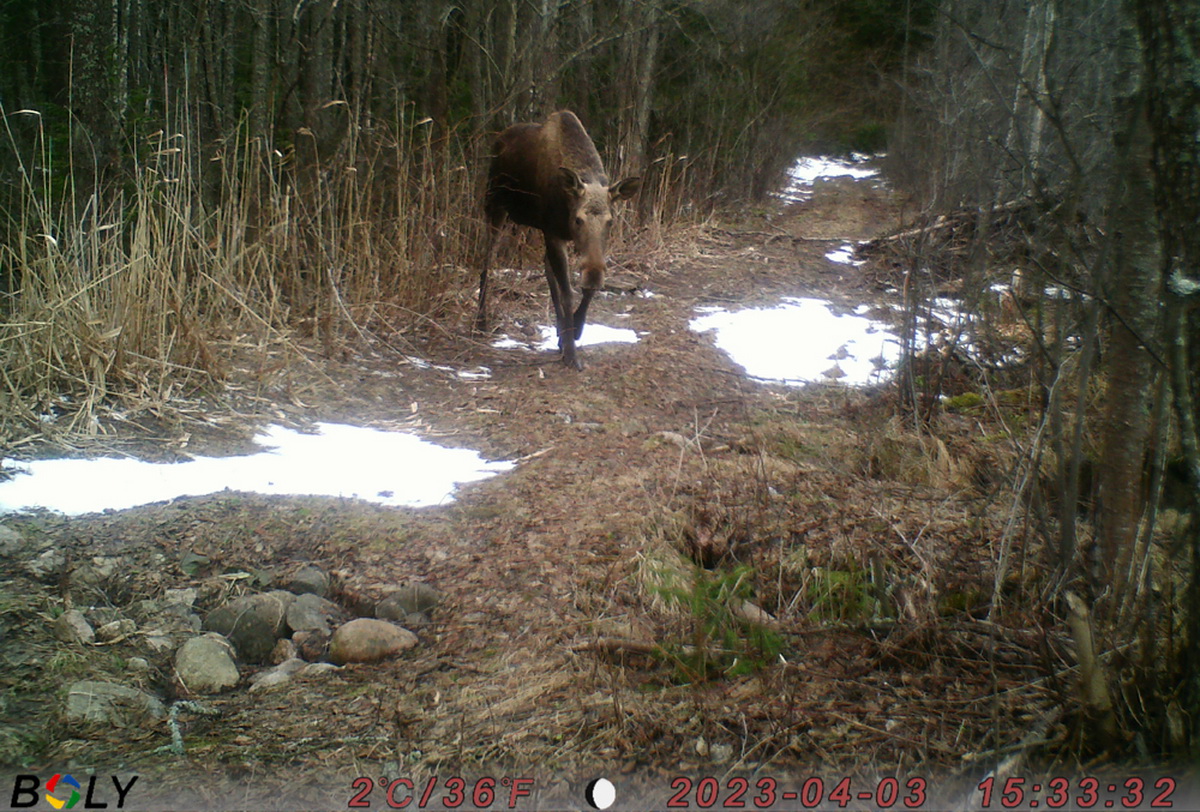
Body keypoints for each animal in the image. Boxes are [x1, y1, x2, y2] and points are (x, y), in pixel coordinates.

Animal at [470, 110, 638, 367]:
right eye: (578, 220)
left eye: (611, 221)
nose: (594, 275)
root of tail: (498, 138)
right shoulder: (554, 233)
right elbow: (567, 292)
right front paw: (571, 353)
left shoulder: (567, 241)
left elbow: (577, 287)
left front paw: (574, 330)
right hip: (495, 204)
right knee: (487, 260)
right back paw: (481, 322)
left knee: (547, 270)